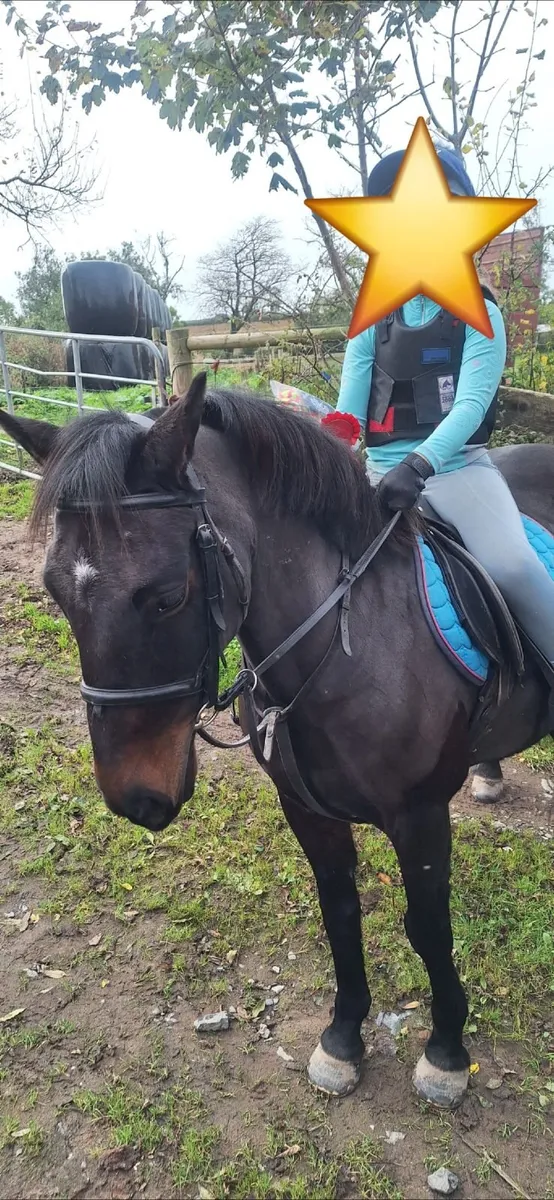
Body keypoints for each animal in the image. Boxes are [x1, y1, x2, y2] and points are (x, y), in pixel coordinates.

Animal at [0, 376, 552, 1111]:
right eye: (56, 591)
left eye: (167, 597)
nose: (134, 797)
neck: (346, 637)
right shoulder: (305, 809)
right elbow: (340, 913)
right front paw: (343, 1039)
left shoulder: (421, 817)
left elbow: (428, 926)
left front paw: (446, 1054)